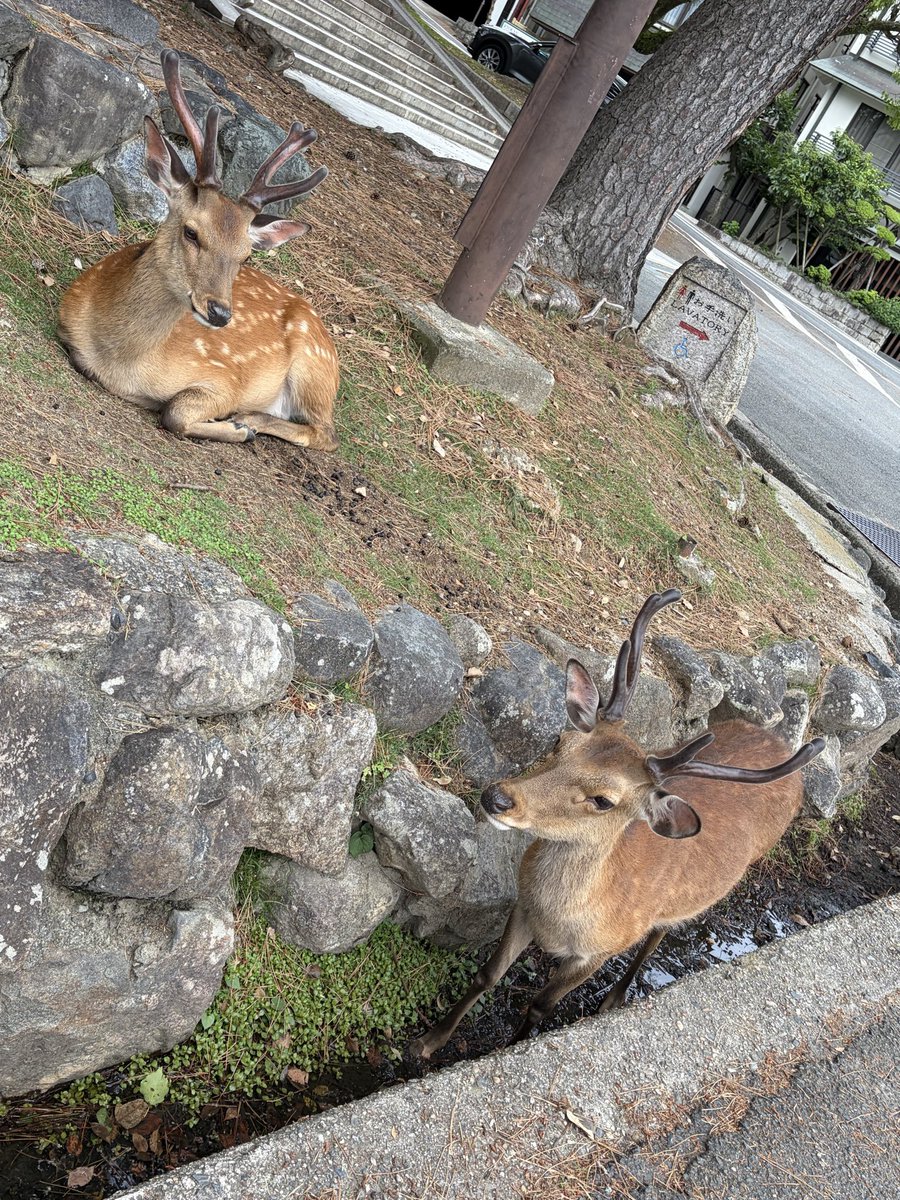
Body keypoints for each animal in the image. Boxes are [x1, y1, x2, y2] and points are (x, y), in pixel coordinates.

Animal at [58, 50, 338, 452]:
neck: (120, 364)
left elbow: (174, 411)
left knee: (325, 433)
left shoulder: (226, 377)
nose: (220, 313)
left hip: (313, 365)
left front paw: (235, 426)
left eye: (245, 256)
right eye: (192, 232)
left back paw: (250, 420)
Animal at [411, 589, 825, 1058]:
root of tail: (781, 744)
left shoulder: (602, 948)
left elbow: (540, 1006)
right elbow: (487, 974)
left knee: (659, 933)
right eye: (560, 741)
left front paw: (514, 1047)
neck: (564, 918)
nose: (496, 797)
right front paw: (427, 1043)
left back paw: (616, 997)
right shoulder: (523, 908)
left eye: (603, 800)